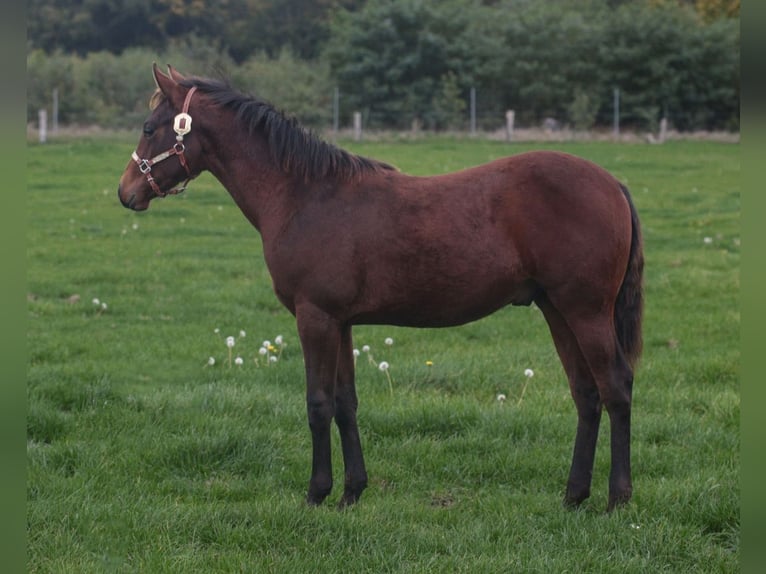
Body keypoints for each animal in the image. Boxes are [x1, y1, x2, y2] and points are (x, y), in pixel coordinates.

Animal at [118, 65, 644, 511]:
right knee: (586, 393)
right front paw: (352, 492)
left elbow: (318, 404)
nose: (126, 193)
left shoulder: (315, 318)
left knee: (615, 388)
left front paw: (316, 493)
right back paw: (573, 496)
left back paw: (617, 499)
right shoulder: (342, 322)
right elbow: (346, 403)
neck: (305, 195)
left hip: (585, 311)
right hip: (556, 310)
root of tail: (614, 184)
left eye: (149, 127)